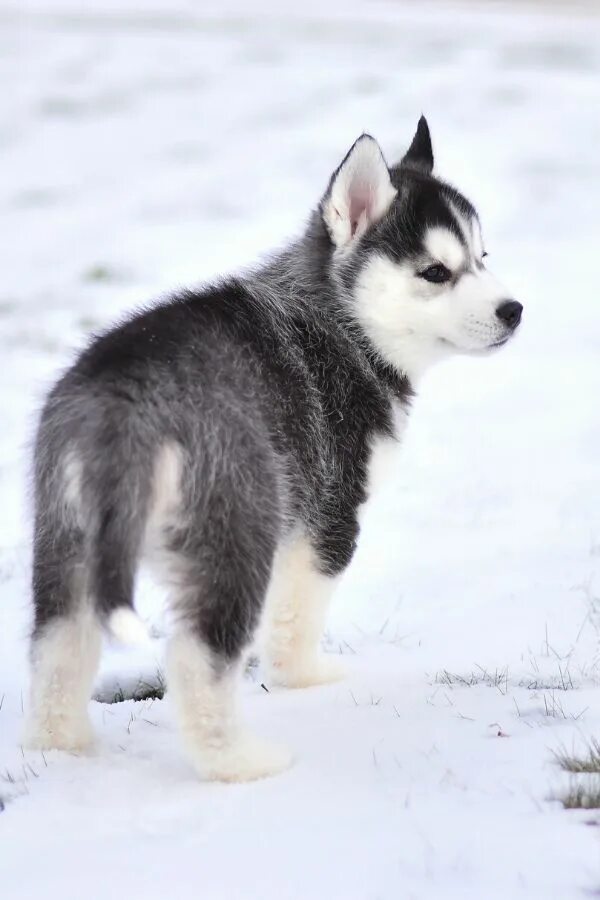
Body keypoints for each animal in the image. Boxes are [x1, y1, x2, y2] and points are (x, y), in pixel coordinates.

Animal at [23, 118, 520, 780]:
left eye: (482, 258)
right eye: (436, 272)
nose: (514, 311)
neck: (341, 324)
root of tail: (125, 404)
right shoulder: (330, 510)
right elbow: (297, 615)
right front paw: (304, 678)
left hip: (66, 536)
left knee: (57, 647)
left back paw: (60, 747)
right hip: (234, 528)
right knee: (197, 658)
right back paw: (238, 762)